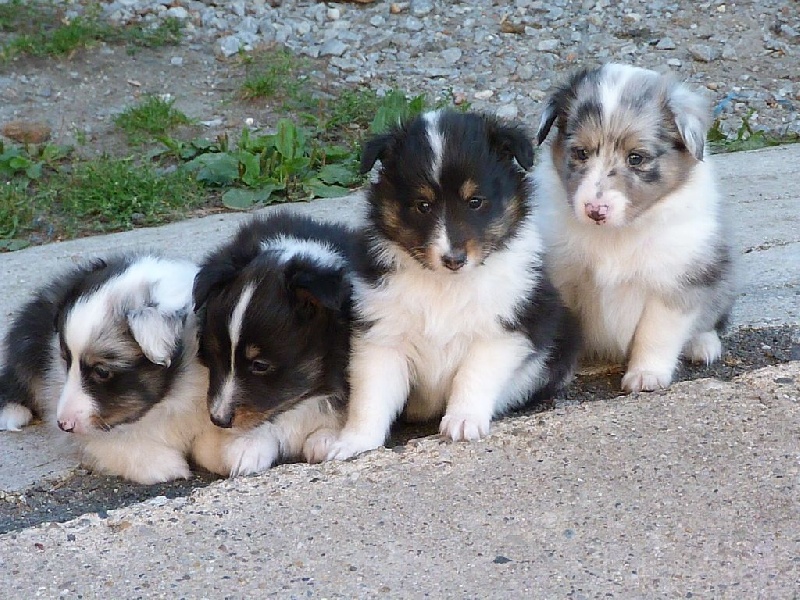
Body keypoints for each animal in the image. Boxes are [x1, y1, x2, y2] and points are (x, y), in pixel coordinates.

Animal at [322, 109, 580, 460]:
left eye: (475, 202)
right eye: (423, 205)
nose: (453, 259)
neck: (445, 284)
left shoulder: (502, 330)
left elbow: (472, 375)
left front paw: (463, 421)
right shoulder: (382, 336)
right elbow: (371, 396)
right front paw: (354, 442)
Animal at [536, 63, 736, 392]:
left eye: (636, 158)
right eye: (580, 153)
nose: (595, 211)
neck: (616, 234)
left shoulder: (674, 281)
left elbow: (655, 333)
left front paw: (646, 375)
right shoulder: (563, 278)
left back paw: (702, 345)